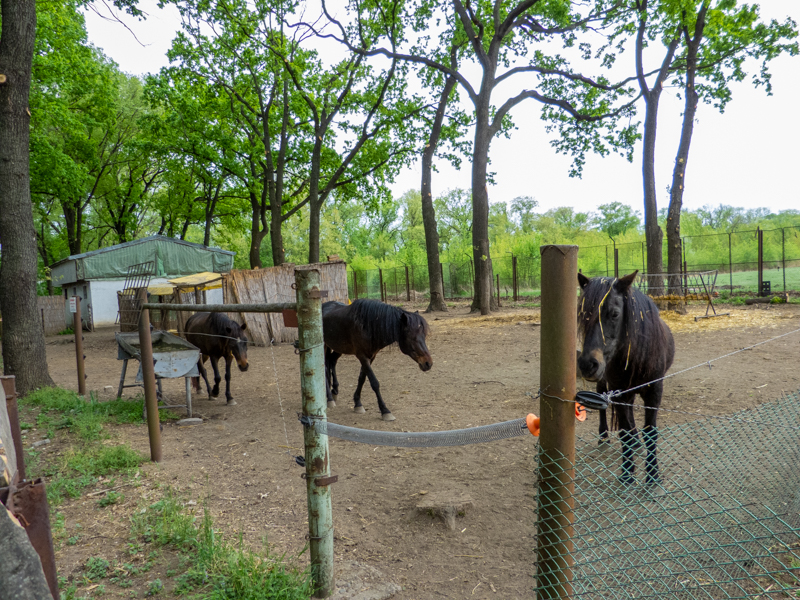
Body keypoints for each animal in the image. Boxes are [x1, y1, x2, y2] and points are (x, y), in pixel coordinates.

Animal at [577, 271, 674, 485]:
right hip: (607, 385)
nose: (587, 365)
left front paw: (652, 473)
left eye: (614, 314)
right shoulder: (619, 390)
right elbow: (623, 432)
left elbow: (650, 431)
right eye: (582, 314)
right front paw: (628, 471)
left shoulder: (654, 391)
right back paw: (604, 435)